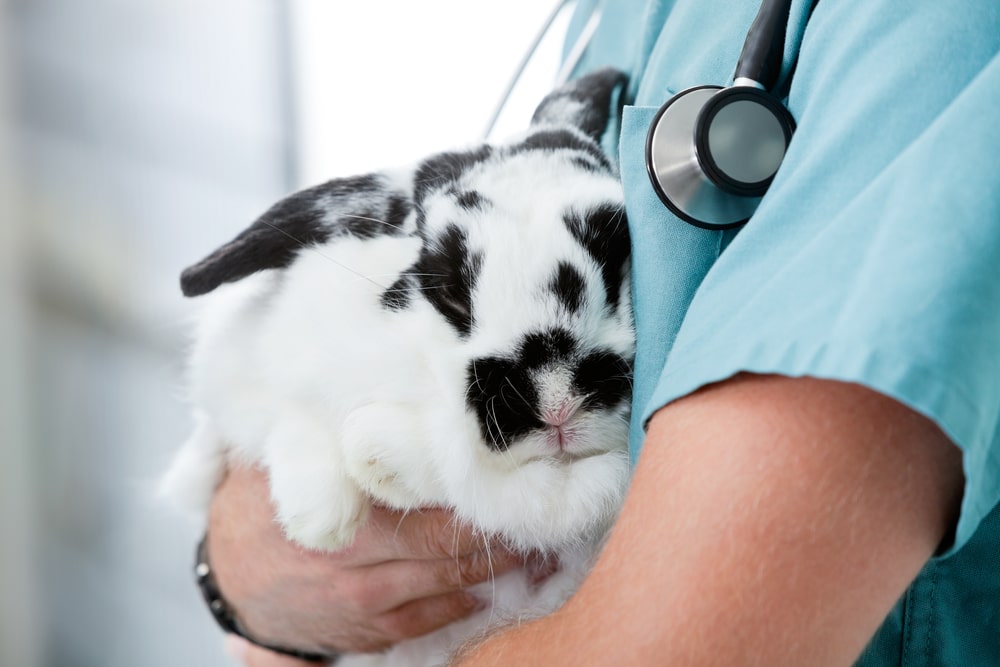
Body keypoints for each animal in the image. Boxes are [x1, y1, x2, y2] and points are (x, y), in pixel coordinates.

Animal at [163, 69, 632, 667]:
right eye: (448, 290)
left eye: (618, 264)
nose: (557, 400)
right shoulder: (241, 369)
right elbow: (285, 414)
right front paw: (320, 520)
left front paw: (380, 458)